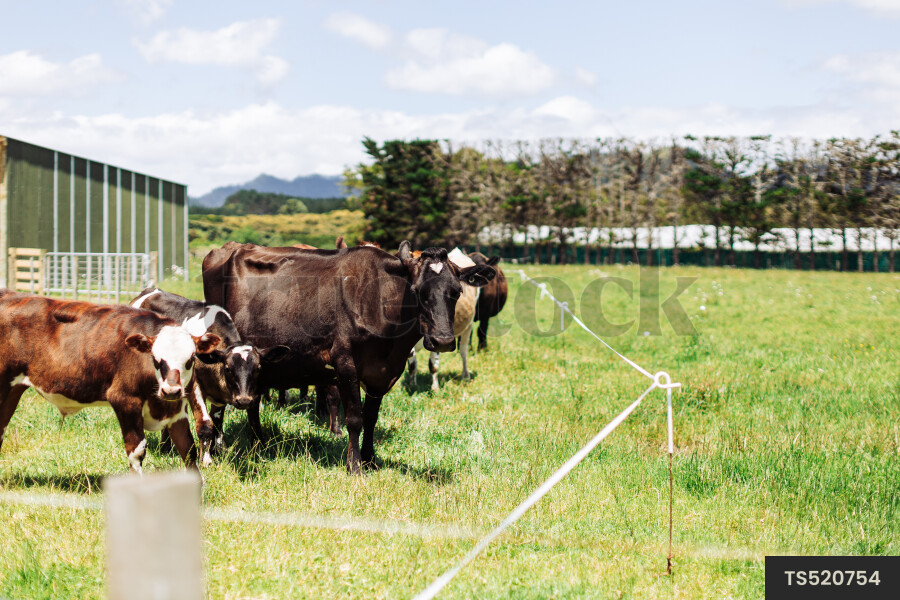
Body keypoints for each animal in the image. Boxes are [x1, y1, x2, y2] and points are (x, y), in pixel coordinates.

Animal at [0, 290, 219, 473]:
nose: (171, 390)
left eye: (191, 358)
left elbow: (188, 450)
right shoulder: (125, 400)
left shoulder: (176, 410)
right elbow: (137, 451)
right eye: (156, 360)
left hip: (12, 390)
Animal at [130, 288, 289, 465]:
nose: (244, 400)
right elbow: (206, 424)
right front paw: (205, 459)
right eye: (227, 368)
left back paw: (166, 447)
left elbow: (220, 422)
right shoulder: (195, 387)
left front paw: (217, 450)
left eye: (258, 368)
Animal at [407, 249, 498, 390]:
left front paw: (435, 388)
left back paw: (465, 376)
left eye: (457, 292)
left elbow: (433, 364)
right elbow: (412, 364)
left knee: (463, 350)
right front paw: (412, 385)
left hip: (469, 325)